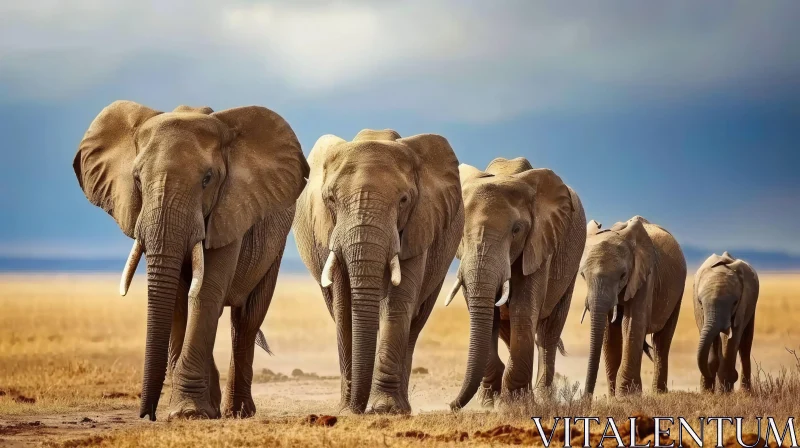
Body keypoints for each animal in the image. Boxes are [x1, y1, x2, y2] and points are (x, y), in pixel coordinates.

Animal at [72, 100, 310, 420]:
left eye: (207, 180)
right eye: (137, 179)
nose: (148, 415)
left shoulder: (231, 209)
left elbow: (206, 291)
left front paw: (188, 413)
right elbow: (178, 297)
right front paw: (189, 411)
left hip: (276, 244)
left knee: (246, 319)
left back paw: (238, 412)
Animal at [294, 129, 462, 412]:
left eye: (404, 200)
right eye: (330, 199)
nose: (356, 408)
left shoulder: (419, 226)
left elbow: (397, 303)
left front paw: (384, 408)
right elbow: (344, 307)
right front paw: (348, 409)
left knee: (415, 322)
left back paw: (401, 407)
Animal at [444, 158, 588, 410]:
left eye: (516, 230)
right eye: (461, 229)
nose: (451, 406)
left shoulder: (540, 242)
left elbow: (523, 308)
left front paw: (514, 403)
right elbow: (486, 314)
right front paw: (489, 402)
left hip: (570, 265)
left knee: (547, 334)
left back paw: (542, 396)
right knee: (508, 329)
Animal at [580, 216, 684, 396]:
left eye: (623, 275)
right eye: (583, 275)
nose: (586, 398)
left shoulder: (645, 275)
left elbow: (632, 323)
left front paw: (627, 396)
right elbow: (609, 330)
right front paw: (613, 397)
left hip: (678, 290)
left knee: (661, 340)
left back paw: (659, 393)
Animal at [692, 252, 764, 392]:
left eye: (735, 302)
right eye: (700, 302)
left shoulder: (743, 304)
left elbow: (733, 337)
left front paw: (725, 391)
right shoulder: (699, 310)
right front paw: (707, 391)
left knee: (745, 345)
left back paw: (745, 392)